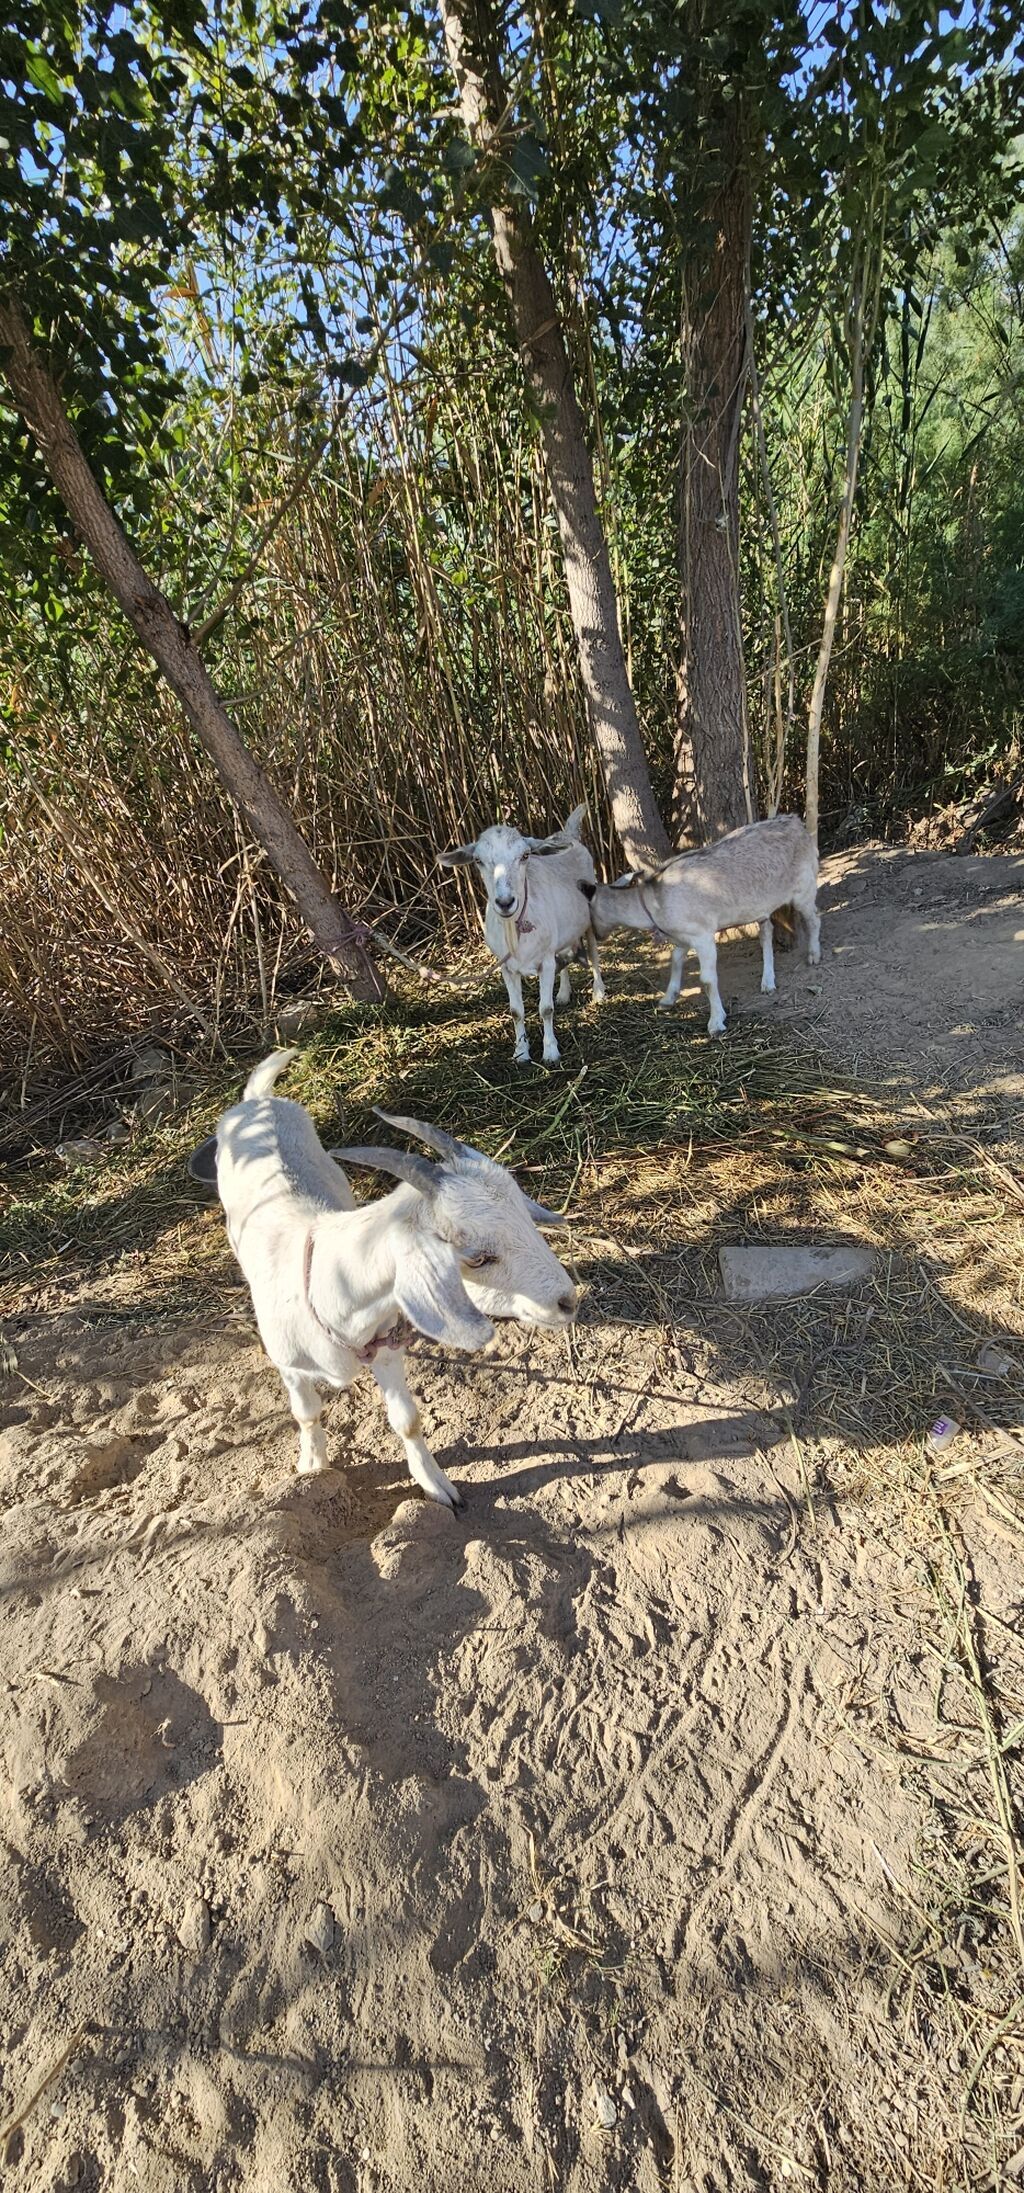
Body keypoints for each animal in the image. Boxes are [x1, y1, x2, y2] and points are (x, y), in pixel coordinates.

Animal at [187, 1050, 576, 1511]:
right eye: (479, 1257)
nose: (568, 1301)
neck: (326, 1290)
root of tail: (256, 1100)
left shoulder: (386, 1348)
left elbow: (407, 1420)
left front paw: (436, 1486)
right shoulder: (290, 1367)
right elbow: (306, 1412)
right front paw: (312, 1466)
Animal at [439, 804, 605, 1067]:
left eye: (525, 856)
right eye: (478, 860)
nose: (505, 902)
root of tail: (567, 834)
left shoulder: (545, 961)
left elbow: (545, 1009)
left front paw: (550, 1053)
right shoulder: (507, 967)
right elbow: (516, 1011)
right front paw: (521, 1053)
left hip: (588, 914)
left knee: (594, 952)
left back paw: (599, 992)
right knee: (565, 958)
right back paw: (563, 993)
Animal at [581, 814, 820, 1036]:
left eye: (588, 912)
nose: (597, 935)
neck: (653, 902)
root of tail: (797, 823)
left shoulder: (702, 934)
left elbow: (707, 979)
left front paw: (716, 1022)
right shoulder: (683, 935)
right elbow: (675, 960)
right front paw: (668, 999)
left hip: (804, 886)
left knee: (814, 918)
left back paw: (813, 955)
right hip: (760, 906)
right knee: (766, 932)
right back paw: (768, 981)